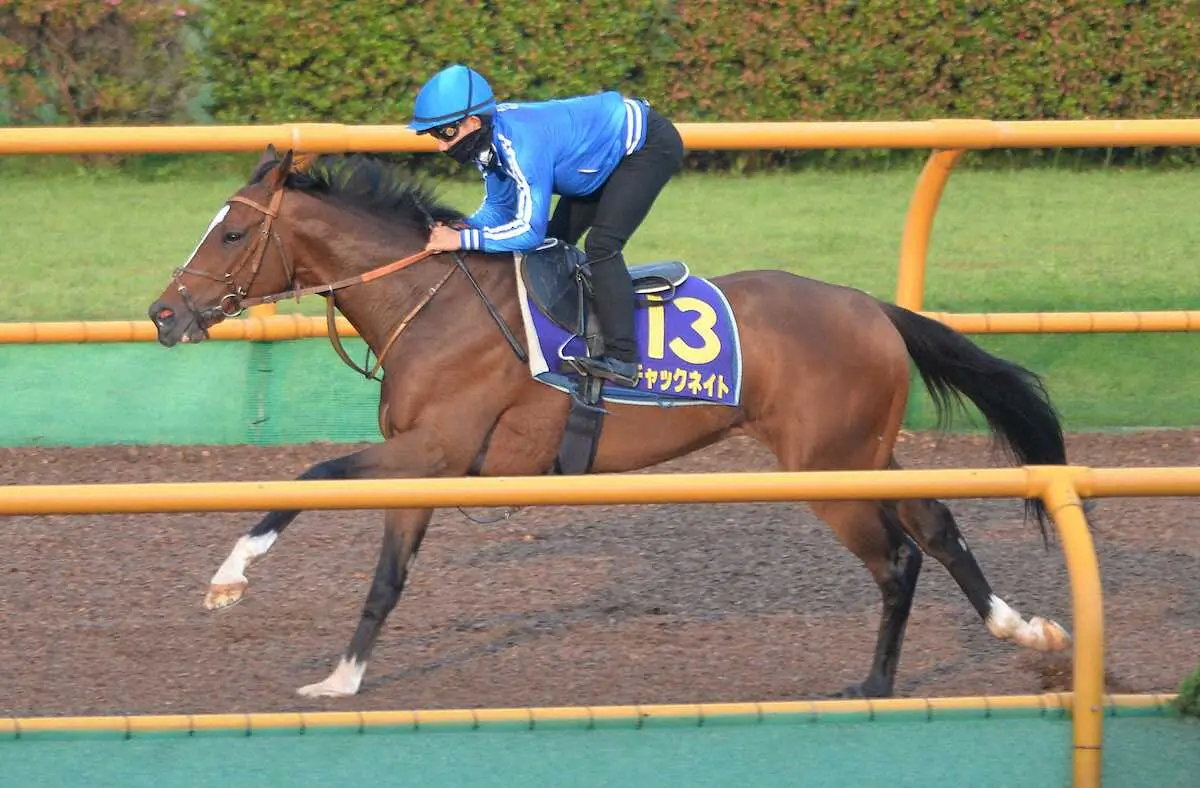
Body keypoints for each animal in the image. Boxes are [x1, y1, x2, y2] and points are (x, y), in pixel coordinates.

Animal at [145, 149, 1075, 700]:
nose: (163, 314)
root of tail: (872, 307)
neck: (433, 304)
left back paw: (878, 686)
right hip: (862, 453)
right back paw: (1024, 628)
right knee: (938, 526)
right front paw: (341, 679)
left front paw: (229, 577)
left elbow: (309, 478)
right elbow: (387, 579)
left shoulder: (432, 446)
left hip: (831, 468)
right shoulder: (427, 465)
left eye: (231, 232)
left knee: (897, 559)